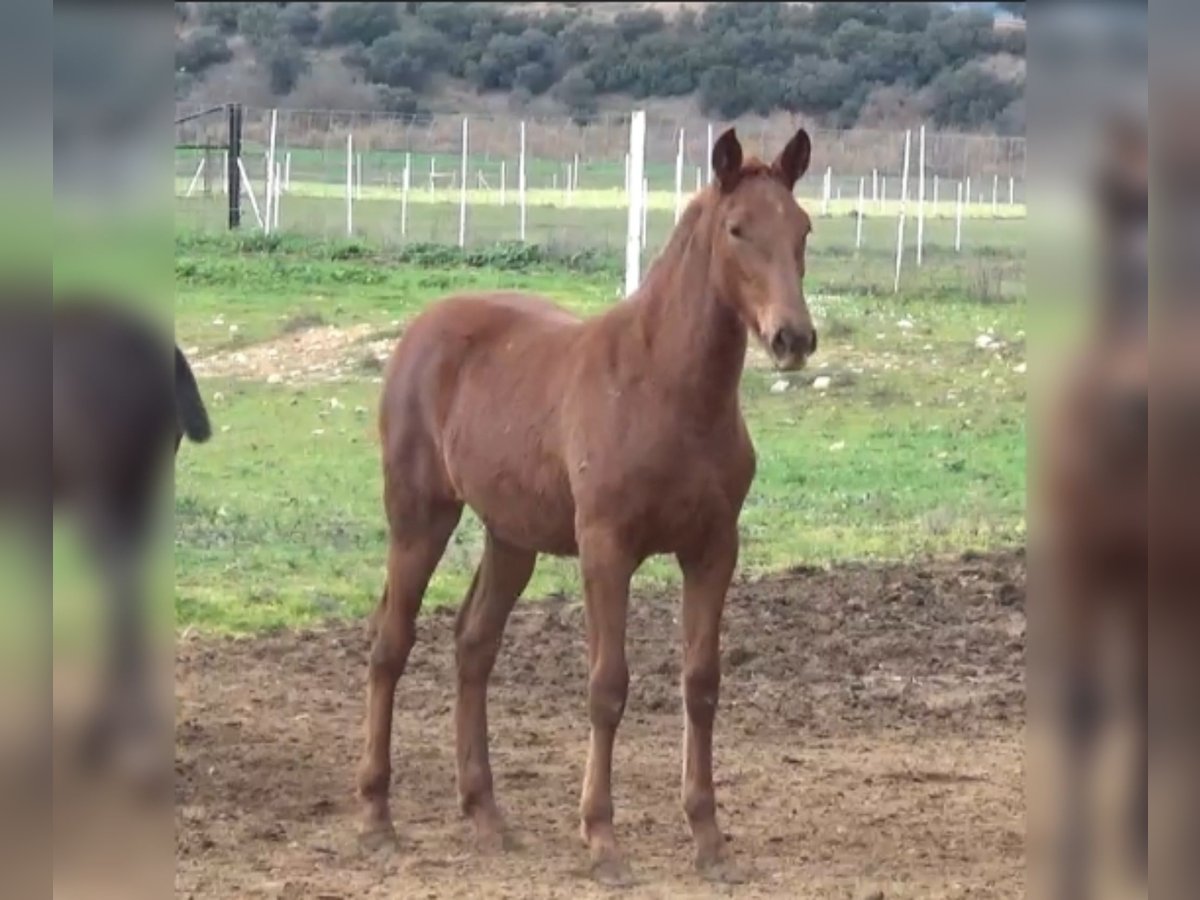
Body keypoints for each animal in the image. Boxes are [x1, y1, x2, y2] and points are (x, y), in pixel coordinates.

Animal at [357, 128, 816, 888]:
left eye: (803, 229)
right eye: (737, 229)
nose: (793, 338)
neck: (667, 388)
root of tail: (422, 327)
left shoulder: (714, 548)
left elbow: (702, 683)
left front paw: (709, 840)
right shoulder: (607, 548)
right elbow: (608, 685)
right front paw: (602, 840)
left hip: (511, 536)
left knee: (473, 646)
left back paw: (487, 816)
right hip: (419, 515)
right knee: (391, 644)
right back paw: (377, 817)